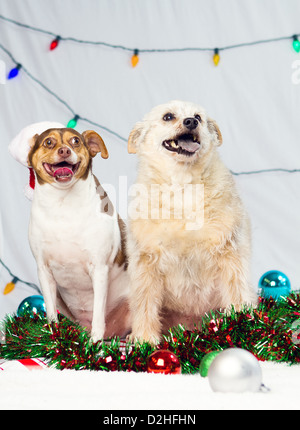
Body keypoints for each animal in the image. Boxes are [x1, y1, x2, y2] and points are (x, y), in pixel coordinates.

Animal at [27, 126, 130, 340]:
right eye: (48, 142)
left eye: (75, 141)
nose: (64, 151)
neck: (63, 202)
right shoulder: (44, 271)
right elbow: (51, 314)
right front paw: (55, 339)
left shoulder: (99, 269)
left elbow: (98, 316)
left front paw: (95, 345)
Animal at [127, 100, 258, 342]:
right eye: (168, 116)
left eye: (198, 116)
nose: (191, 122)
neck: (182, 188)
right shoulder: (146, 263)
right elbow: (144, 304)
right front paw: (144, 339)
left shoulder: (230, 253)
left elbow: (236, 292)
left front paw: (241, 327)